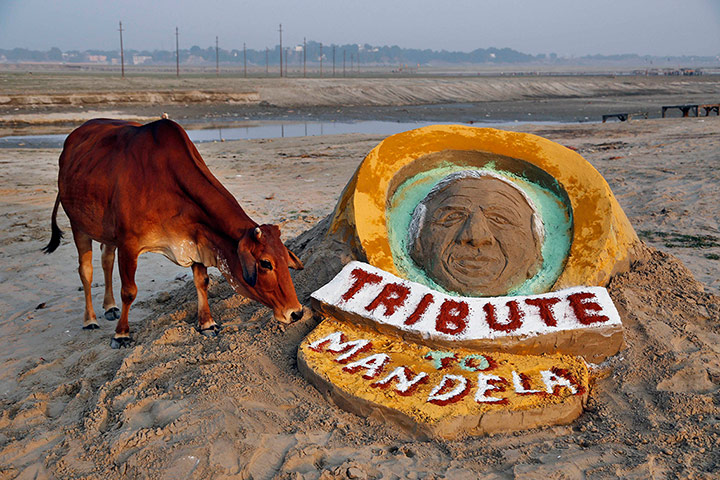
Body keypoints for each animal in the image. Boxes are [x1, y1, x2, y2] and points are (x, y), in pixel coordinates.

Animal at [45, 117, 304, 346]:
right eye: (265, 263)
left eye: (285, 258)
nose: (296, 313)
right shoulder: (129, 244)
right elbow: (129, 291)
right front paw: (121, 334)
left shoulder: (196, 238)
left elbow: (202, 281)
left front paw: (207, 323)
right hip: (79, 225)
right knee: (86, 271)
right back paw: (90, 319)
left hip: (106, 231)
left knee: (106, 260)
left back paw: (109, 307)